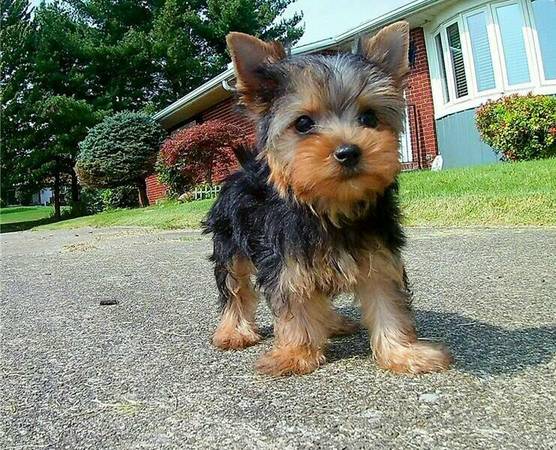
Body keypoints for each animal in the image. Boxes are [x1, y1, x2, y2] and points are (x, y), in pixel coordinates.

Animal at [204, 22, 452, 376]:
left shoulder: (379, 254)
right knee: (234, 286)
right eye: (303, 123)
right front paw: (295, 354)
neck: (330, 204)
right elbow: (295, 300)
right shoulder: (286, 261)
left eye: (369, 118)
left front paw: (403, 352)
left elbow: (388, 301)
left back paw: (333, 323)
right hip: (229, 240)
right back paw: (233, 331)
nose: (348, 151)